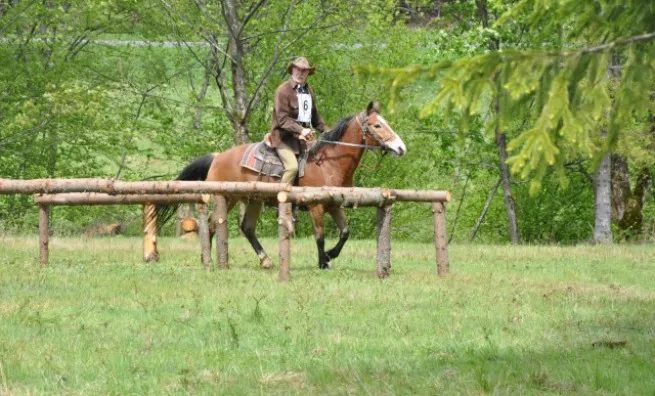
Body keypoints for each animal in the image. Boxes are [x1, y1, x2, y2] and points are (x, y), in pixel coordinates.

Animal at [159, 101, 404, 270]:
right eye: (377, 125)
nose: (401, 148)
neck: (328, 163)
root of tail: (218, 157)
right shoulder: (316, 207)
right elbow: (320, 235)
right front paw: (323, 261)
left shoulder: (334, 205)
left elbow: (345, 232)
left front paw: (330, 255)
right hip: (228, 198)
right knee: (211, 225)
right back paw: (208, 260)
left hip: (253, 200)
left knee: (247, 228)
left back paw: (265, 260)